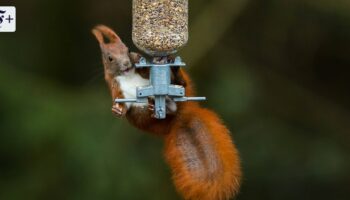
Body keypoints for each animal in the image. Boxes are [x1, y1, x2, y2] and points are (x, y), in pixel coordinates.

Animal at [91, 25, 242, 200]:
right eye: (109, 58)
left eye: (127, 49)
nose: (127, 63)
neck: (128, 76)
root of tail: (181, 117)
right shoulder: (116, 89)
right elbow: (122, 104)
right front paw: (117, 110)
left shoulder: (142, 73)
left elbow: (144, 69)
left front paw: (138, 58)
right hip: (148, 119)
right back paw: (168, 107)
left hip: (182, 90)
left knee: (182, 83)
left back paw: (175, 74)